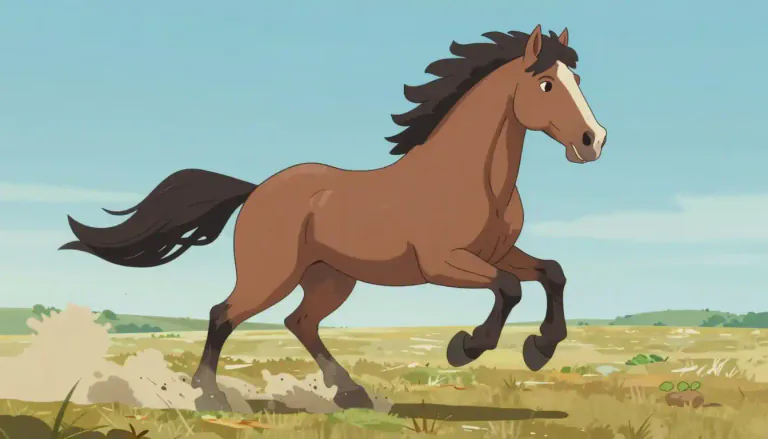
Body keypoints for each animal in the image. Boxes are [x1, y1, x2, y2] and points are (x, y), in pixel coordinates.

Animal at [60, 24, 607, 411]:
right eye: (546, 84)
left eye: (577, 80)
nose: (593, 141)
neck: (472, 179)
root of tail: (256, 190)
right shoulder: (444, 263)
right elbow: (509, 289)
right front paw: (466, 347)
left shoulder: (499, 251)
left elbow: (552, 272)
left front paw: (541, 347)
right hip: (272, 275)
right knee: (223, 314)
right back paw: (208, 397)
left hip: (330, 279)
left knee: (299, 321)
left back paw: (350, 393)